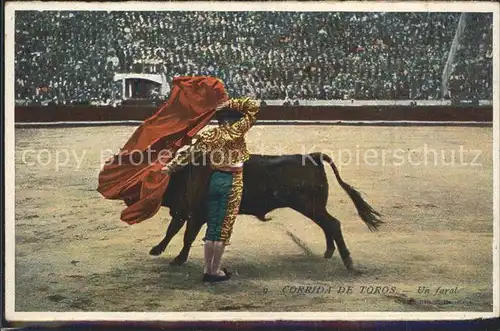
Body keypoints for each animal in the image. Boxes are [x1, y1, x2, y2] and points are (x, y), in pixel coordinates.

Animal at [149, 153, 382, 270]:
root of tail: (312, 156)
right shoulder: (183, 210)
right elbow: (172, 230)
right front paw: (157, 249)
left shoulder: (197, 214)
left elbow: (187, 236)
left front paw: (178, 259)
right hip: (314, 206)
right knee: (328, 224)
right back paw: (329, 252)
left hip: (309, 205)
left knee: (332, 224)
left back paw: (348, 262)